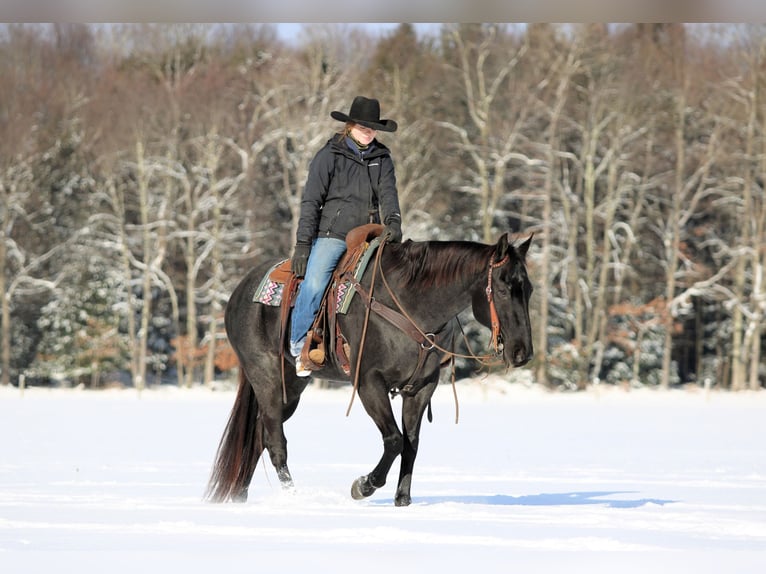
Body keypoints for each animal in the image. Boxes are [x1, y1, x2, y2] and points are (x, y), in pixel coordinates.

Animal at [205, 230, 534, 506]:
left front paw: (403, 500)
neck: (409, 305)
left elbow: (411, 444)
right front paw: (363, 485)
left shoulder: (421, 387)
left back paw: (240, 495)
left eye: (528, 290)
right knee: (275, 440)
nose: (523, 352)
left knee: (259, 434)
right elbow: (394, 440)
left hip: (292, 387)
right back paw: (292, 497)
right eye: (503, 289)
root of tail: (239, 292)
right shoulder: (369, 383)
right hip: (266, 377)